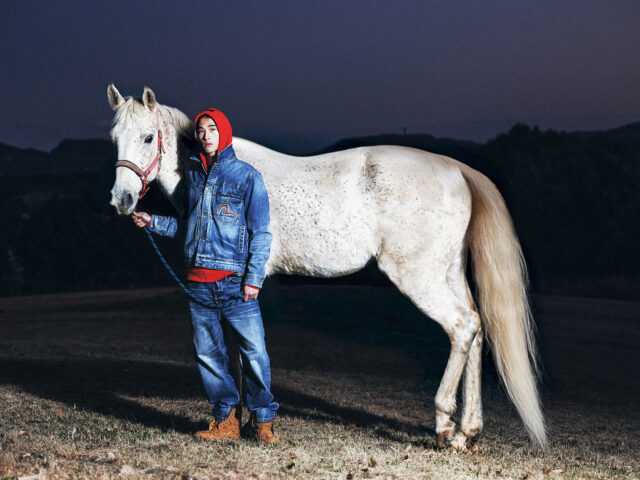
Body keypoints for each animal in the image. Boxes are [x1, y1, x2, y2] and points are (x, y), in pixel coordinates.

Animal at [107, 84, 546, 451]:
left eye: (148, 137)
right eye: (115, 139)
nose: (123, 200)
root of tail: (456, 169)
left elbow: (242, 354)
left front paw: (248, 423)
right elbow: (240, 356)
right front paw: (241, 423)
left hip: (419, 277)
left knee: (461, 327)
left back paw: (445, 426)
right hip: (448, 273)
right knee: (477, 329)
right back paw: (467, 432)